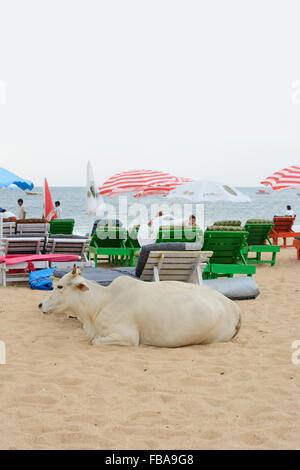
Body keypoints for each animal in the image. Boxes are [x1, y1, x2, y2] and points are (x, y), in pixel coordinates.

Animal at [39, 266, 241, 346]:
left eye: (60, 286)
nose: (40, 304)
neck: (100, 303)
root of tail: (234, 307)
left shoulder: (127, 337)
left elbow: (95, 341)